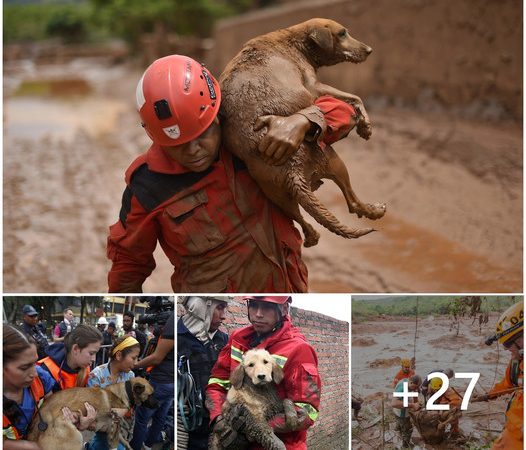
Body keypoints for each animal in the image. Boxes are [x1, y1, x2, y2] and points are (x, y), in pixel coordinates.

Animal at [27, 378, 159, 450]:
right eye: (150, 395)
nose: (159, 405)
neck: (124, 393)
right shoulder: (115, 427)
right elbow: (115, 445)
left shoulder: (113, 428)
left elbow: (125, 441)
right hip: (75, 440)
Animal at [220, 18, 388, 246]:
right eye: (342, 33)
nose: (369, 50)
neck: (294, 41)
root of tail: (293, 170)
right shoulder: (314, 87)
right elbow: (355, 97)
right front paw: (365, 126)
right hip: (332, 160)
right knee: (352, 202)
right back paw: (374, 210)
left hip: (277, 193)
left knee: (303, 222)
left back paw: (311, 238)